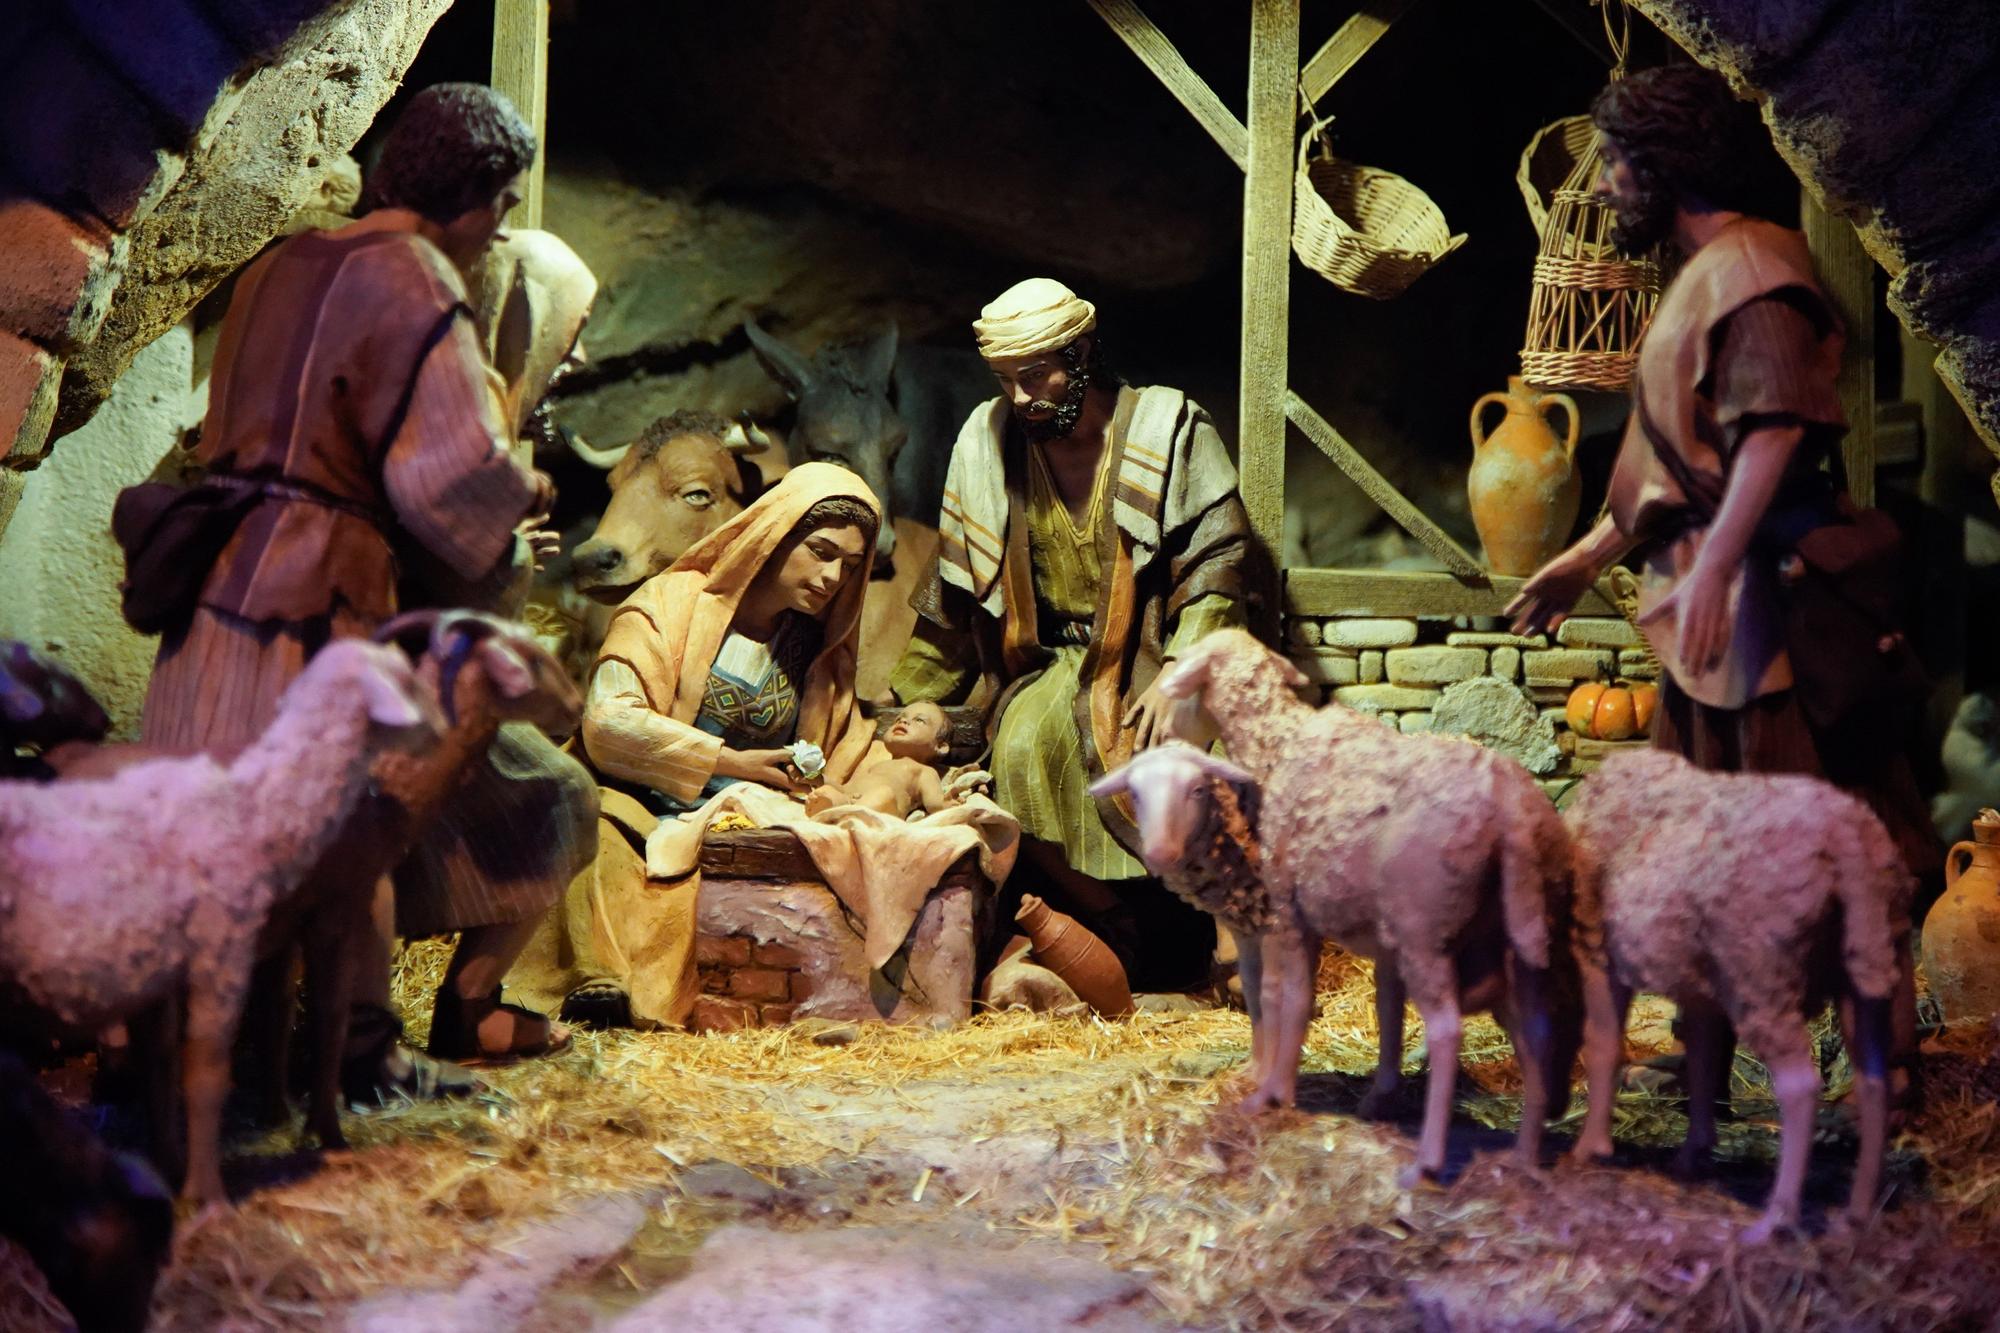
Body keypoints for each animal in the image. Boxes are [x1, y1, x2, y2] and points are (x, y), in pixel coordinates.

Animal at [0, 636, 440, 1200]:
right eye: (404, 679)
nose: (440, 729)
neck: (256, 803)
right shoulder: (222, 950)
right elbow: (205, 1069)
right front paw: (206, 1196)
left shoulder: (165, 966)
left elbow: (163, 1065)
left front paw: (170, 1169)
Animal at [1112, 628, 1576, 1176]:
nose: (1161, 734)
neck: (1276, 741)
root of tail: (1508, 808)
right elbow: (1382, 1007)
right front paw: (1370, 1094)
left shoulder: (1287, 913)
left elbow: (1286, 998)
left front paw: (1275, 1092)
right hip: (1518, 932)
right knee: (1536, 1031)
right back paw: (1525, 1153)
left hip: (1424, 926)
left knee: (1447, 1030)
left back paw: (1428, 1159)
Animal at [1560, 740, 1904, 1240]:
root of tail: (1849, 842)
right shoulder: (1701, 982)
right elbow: (1704, 1056)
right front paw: (1694, 1152)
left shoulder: (1597, 949)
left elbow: (1604, 1048)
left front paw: (1590, 1148)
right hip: (1868, 965)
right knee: (1875, 1079)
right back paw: (1857, 1211)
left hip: (1762, 972)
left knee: (1800, 1087)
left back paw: (1775, 1220)